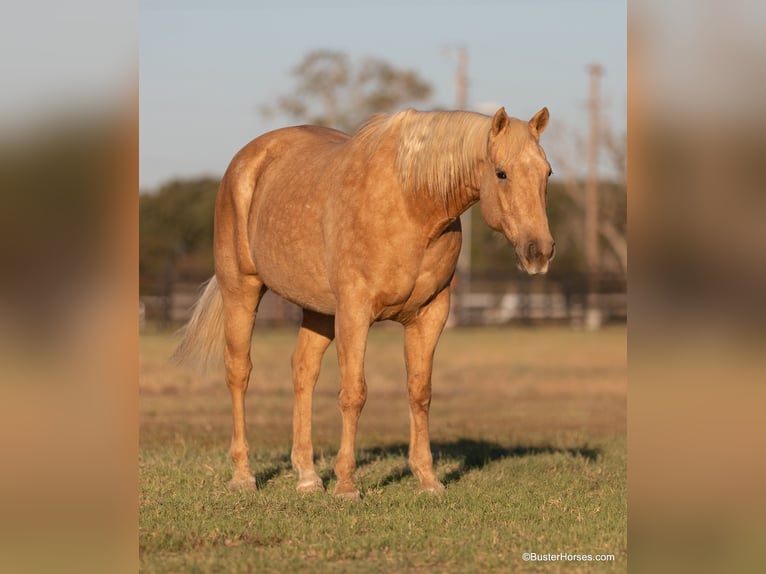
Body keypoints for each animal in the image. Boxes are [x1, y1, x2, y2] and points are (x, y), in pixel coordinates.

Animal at [175, 107, 556, 500]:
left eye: (547, 172)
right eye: (501, 173)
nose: (539, 252)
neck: (412, 206)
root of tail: (245, 161)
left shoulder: (430, 315)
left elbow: (419, 393)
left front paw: (428, 479)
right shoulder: (354, 312)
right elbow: (354, 394)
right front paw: (346, 485)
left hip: (318, 310)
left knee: (303, 371)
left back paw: (308, 477)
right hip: (242, 290)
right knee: (239, 372)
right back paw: (243, 475)